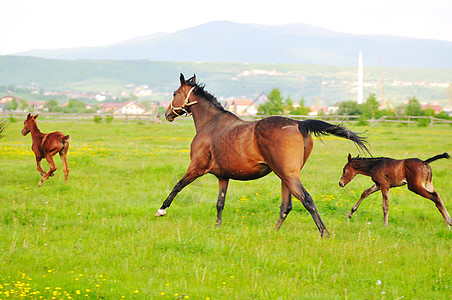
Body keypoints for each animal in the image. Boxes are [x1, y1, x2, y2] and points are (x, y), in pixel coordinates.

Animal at [154, 73, 370, 237]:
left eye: (174, 93)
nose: (167, 114)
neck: (211, 123)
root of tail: (298, 124)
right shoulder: (223, 176)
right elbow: (220, 203)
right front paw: (217, 227)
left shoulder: (197, 167)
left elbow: (178, 186)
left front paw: (161, 210)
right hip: (285, 177)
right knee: (287, 206)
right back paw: (273, 231)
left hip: (289, 175)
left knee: (307, 199)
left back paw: (324, 233)